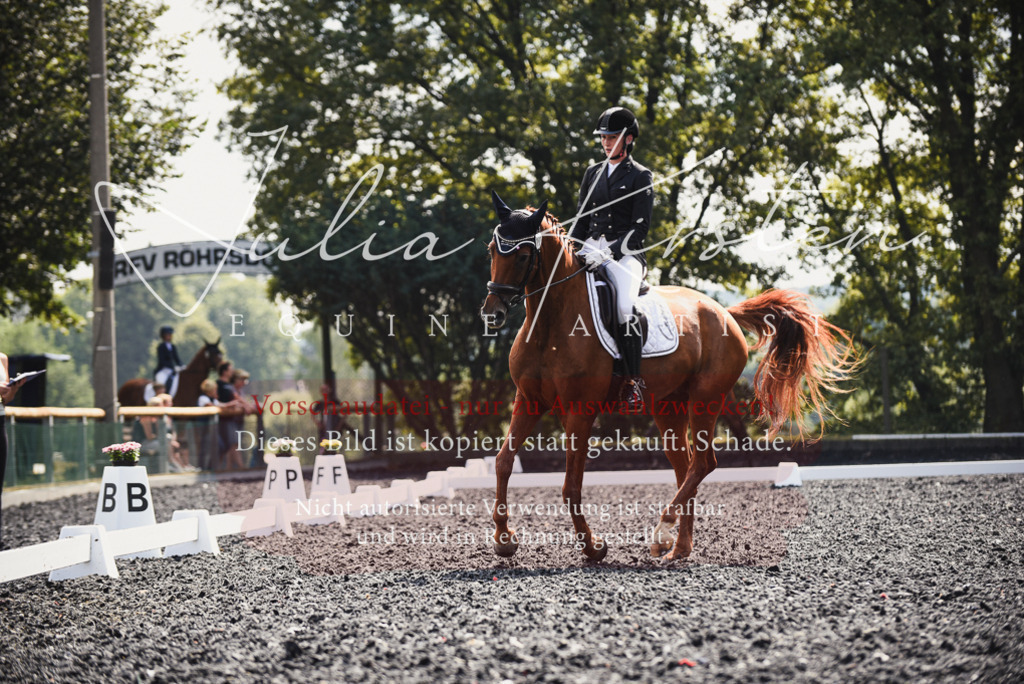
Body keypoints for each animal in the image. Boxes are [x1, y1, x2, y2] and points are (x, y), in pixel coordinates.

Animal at [480, 195, 857, 562]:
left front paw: (593, 547)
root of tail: (723, 311)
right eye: (492, 250)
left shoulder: (580, 411)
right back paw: (679, 547)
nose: (492, 314)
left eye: (523, 254)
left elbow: (571, 485)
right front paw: (504, 539)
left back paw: (663, 531)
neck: (551, 324)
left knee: (703, 463)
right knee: (685, 466)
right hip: (667, 405)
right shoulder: (529, 400)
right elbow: (503, 462)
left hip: (706, 398)